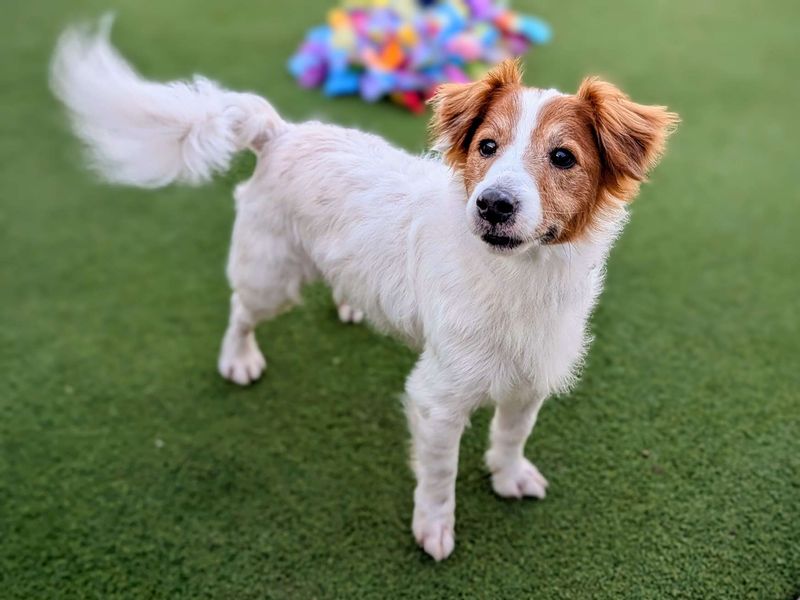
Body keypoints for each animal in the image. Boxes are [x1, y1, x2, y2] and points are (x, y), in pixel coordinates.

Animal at [50, 19, 680, 564]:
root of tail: (280, 132)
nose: (493, 205)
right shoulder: (437, 397)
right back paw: (238, 357)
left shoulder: (530, 377)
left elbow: (510, 436)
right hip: (270, 278)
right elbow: (439, 475)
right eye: (487, 147)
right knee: (239, 308)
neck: (521, 275)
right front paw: (434, 529)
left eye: (563, 157)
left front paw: (507, 477)